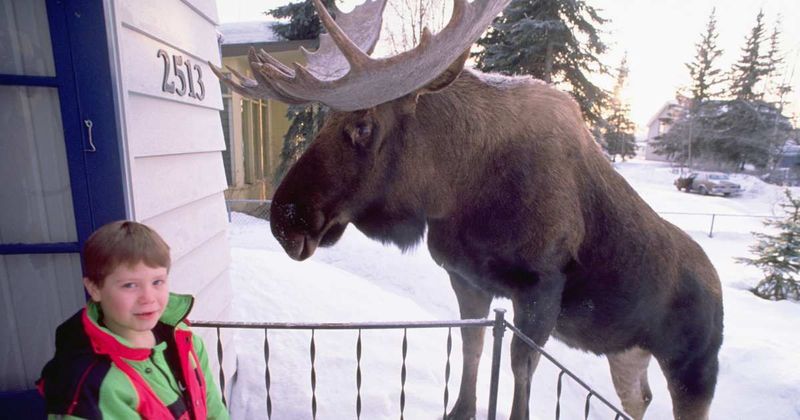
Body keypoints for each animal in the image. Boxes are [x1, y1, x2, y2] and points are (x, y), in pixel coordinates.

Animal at [211, 0, 723, 418]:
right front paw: (460, 407)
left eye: (363, 125)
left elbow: (520, 372)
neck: (459, 195)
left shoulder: (541, 287)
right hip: (628, 351)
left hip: (695, 364)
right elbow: (471, 347)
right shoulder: (465, 277)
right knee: (639, 398)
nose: (285, 219)